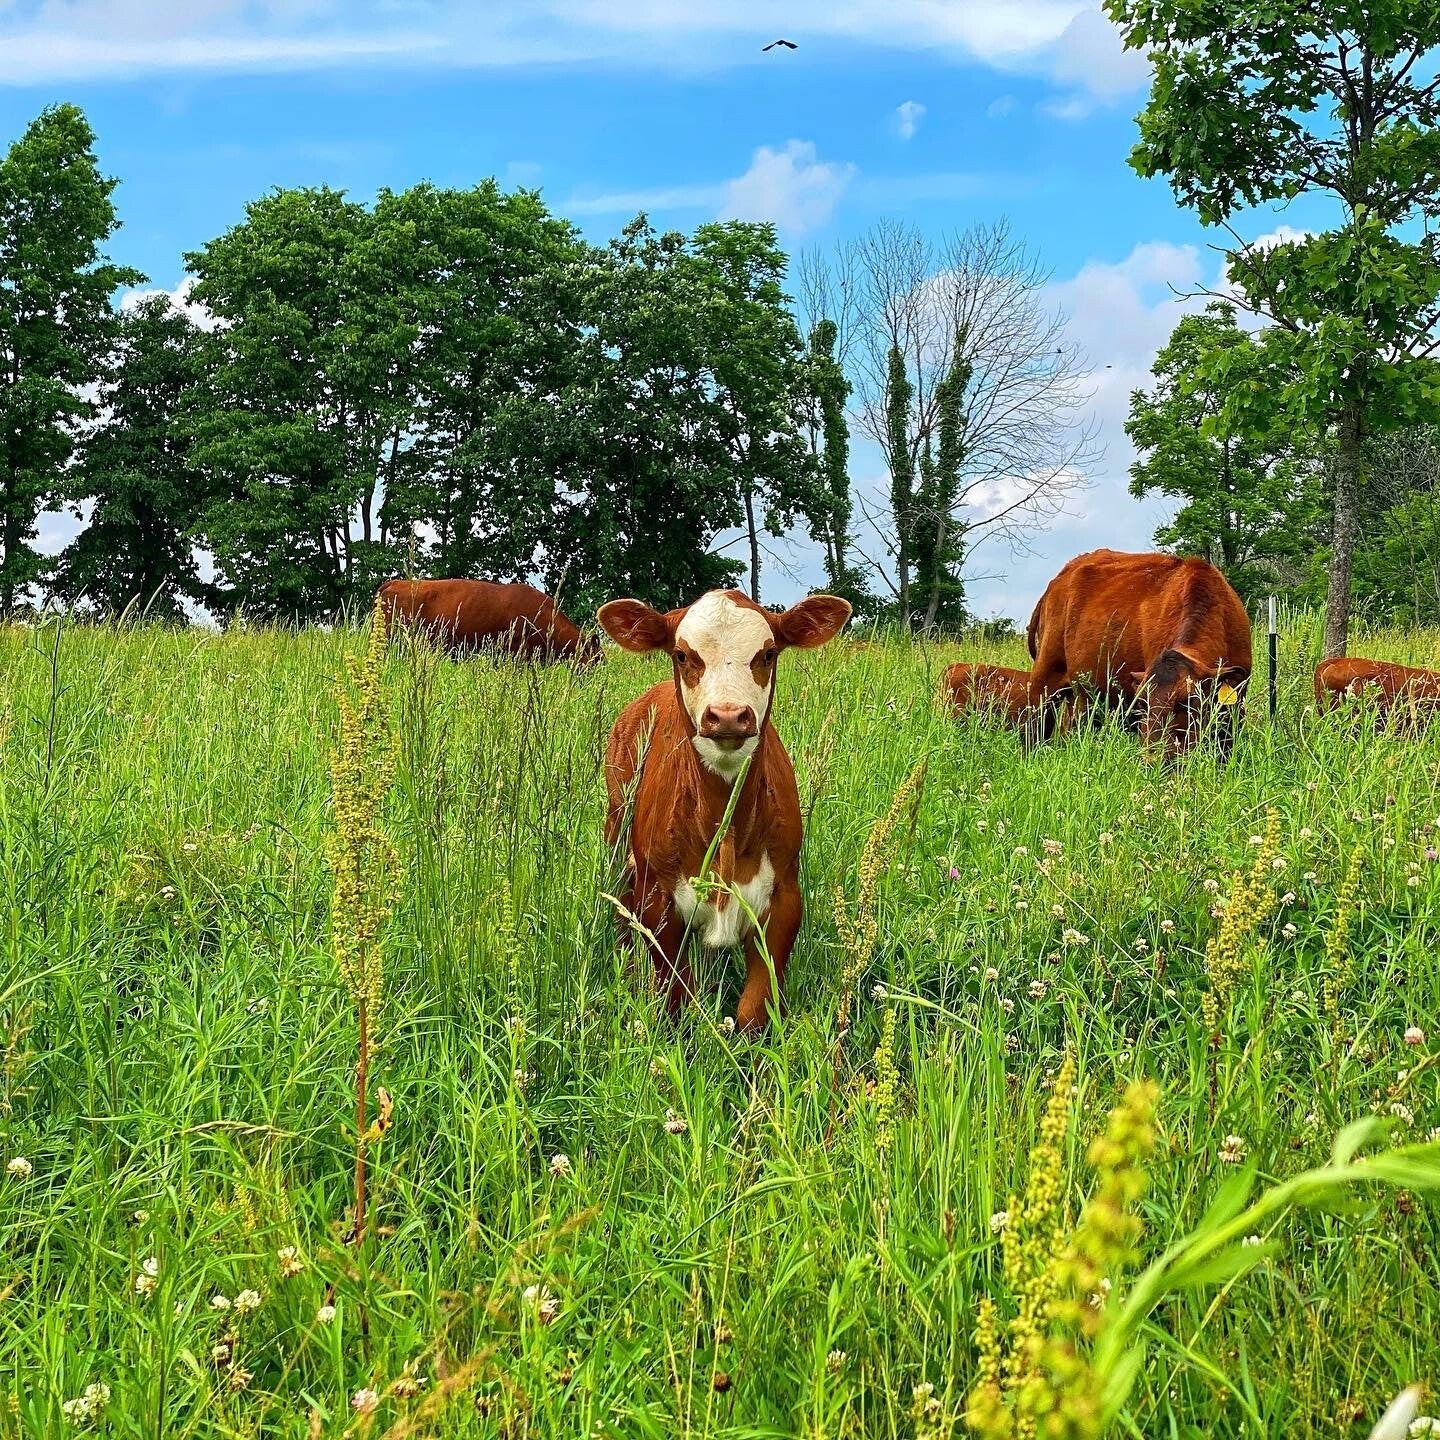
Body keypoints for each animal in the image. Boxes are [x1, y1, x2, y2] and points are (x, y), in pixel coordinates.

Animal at [598, 589, 852, 1032]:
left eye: (767, 653)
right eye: (682, 654)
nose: (729, 716)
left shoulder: (784, 898)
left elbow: (755, 1007)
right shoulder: (656, 896)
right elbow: (674, 993)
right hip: (617, 826)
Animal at [1027, 549, 1252, 757]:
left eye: (1187, 701)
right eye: (1142, 702)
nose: (1152, 757)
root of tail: (1059, 579)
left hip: (1078, 699)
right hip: (1045, 683)